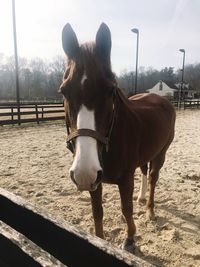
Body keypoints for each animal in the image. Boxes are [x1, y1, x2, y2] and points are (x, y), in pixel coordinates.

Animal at [59, 22, 175, 251]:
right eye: (64, 91)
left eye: (111, 91)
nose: (83, 171)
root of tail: (161, 99)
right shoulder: (95, 181)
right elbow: (97, 213)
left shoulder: (125, 179)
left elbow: (126, 209)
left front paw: (129, 240)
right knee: (145, 172)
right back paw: (141, 197)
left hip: (161, 154)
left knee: (153, 177)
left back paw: (150, 210)